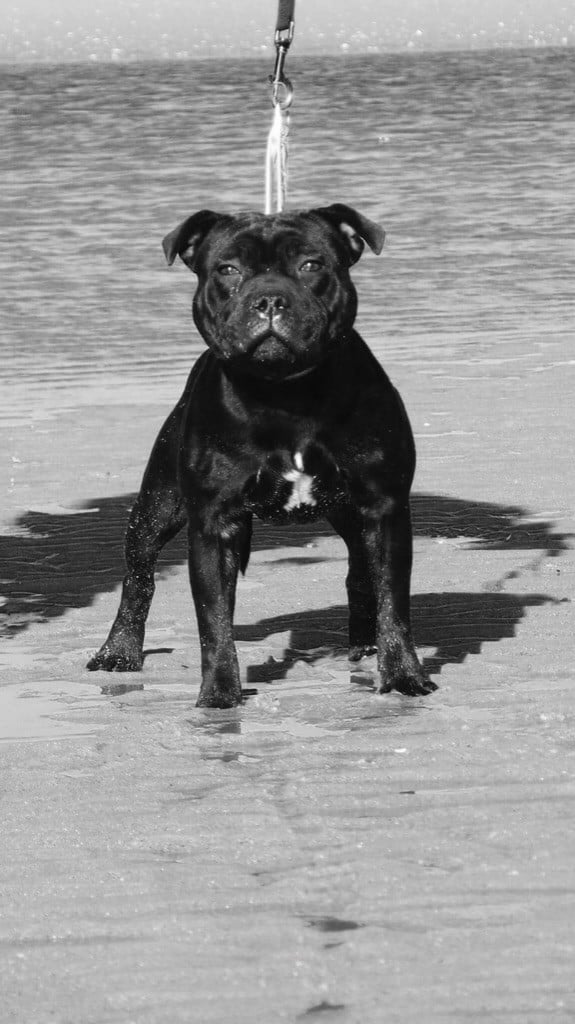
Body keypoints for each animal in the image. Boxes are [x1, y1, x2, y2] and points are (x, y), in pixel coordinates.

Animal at [88, 204, 436, 707]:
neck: (283, 393)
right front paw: (219, 694)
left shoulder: (384, 508)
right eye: (228, 270)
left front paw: (404, 675)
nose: (270, 300)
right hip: (157, 507)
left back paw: (363, 644)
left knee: (359, 572)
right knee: (138, 576)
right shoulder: (213, 524)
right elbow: (214, 619)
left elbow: (394, 600)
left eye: (311, 265)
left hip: (351, 516)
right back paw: (118, 652)